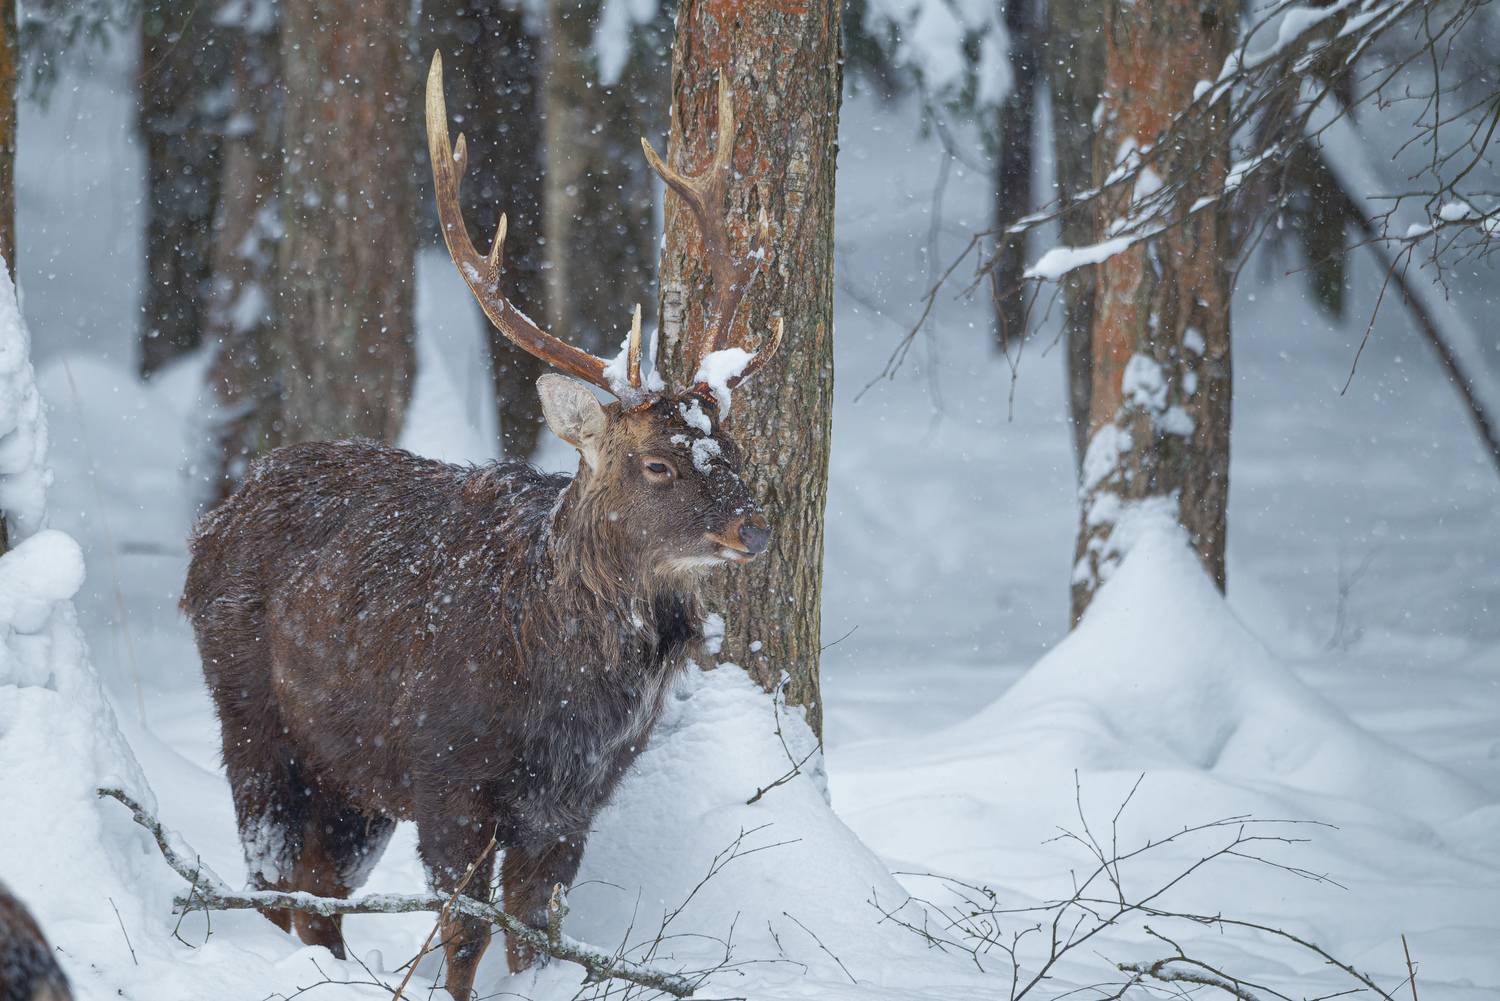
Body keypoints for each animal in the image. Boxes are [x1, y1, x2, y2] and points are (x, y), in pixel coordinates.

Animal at [181, 52, 783, 1001]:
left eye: (727, 443)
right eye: (657, 462)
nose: (753, 528)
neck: (563, 696)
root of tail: (212, 523)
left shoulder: (569, 806)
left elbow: (536, 938)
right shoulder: (448, 776)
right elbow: (463, 935)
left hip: (351, 773)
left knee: (320, 889)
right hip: (251, 710)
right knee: (271, 873)